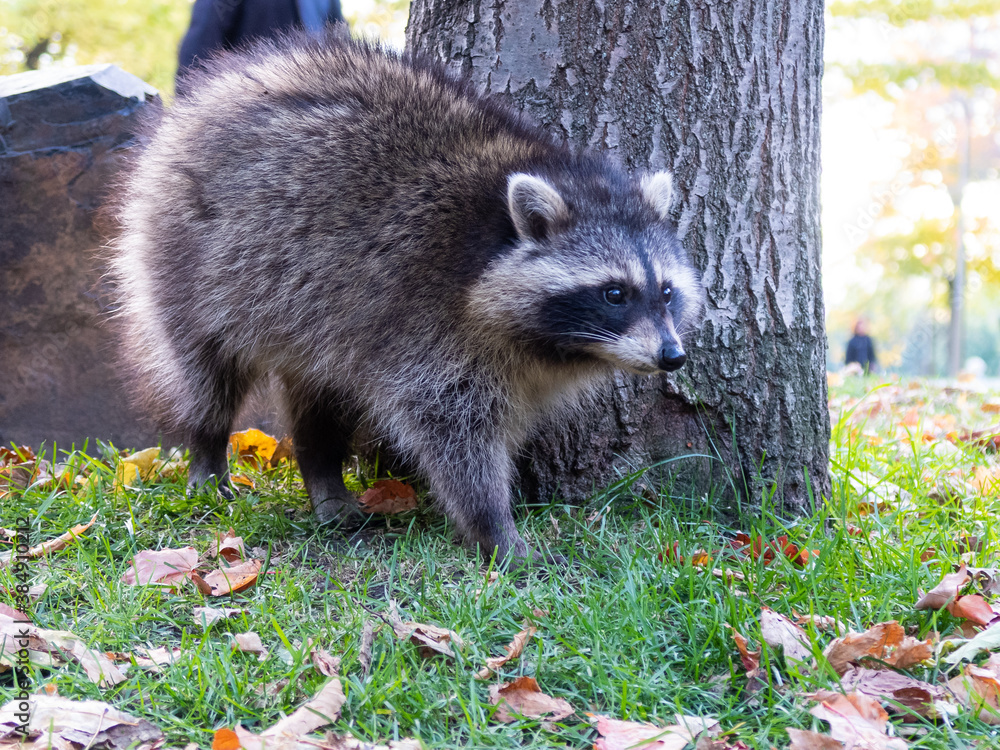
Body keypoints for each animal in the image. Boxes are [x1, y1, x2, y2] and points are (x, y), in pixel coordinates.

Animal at [111, 32, 703, 563]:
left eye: (666, 291)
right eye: (614, 293)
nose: (673, 356)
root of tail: (202, 100)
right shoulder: (427, 323)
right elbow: (453, 434)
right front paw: (495, 526)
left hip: (318, 314)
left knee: (319, 396)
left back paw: (322, 470)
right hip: (190, 258)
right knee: (206, 371)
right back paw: (208, 446)